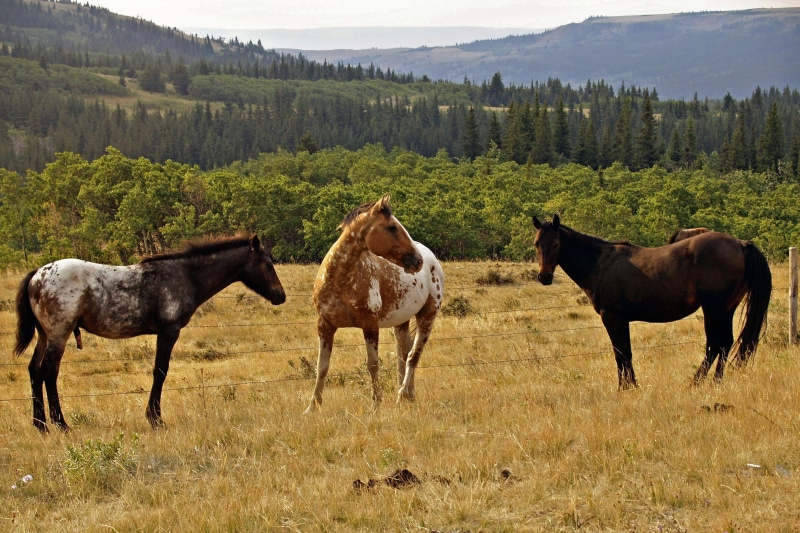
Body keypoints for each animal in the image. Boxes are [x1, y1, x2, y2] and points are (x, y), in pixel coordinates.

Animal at [15, 234, 286, 432]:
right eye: (268, 265)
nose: (281, 296)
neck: (184, 276)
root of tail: (37, 274)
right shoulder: (168, 331)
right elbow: (160, 371)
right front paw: (155, 418)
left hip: (44, 335)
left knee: (34, 370)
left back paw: (40, 425)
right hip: (59, 334)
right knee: (49, 372)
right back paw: (60, 424)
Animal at [305, 195, 444, 413]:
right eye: (392, 227)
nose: (417, 261)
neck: (340, 280)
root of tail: (433, 261)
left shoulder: (370, 325)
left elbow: (372, 364)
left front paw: (376, 404)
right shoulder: (325, 325)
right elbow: (322, 366)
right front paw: (312, 406)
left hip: (427, 316)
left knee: (413, 356)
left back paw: (401, 395)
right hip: (401, 323)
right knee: (405, 354)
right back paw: (408, 396)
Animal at [532, 214, 771, 389]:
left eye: (555, 244)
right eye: (536, 244)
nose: (544, 277)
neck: (600, 262)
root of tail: (740, 244)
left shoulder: (612, 317)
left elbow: (621, 353)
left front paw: (625, 387)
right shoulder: (620, 319)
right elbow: (625, 352)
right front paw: (631, 385)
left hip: (714, 310)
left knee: (715, 345)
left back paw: (696, 383)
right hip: (726, 309)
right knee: (725, 344)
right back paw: (716, 382)